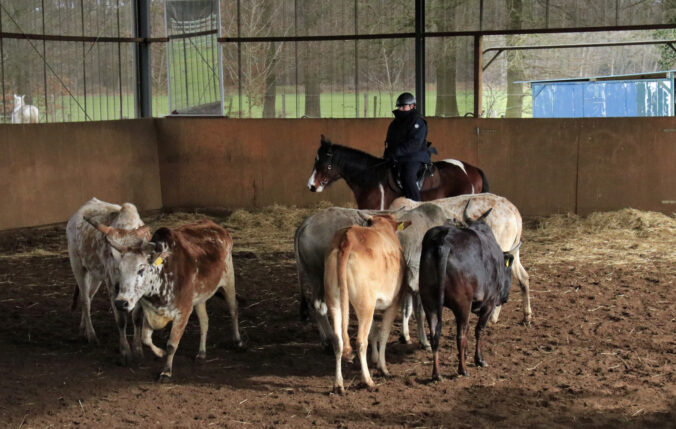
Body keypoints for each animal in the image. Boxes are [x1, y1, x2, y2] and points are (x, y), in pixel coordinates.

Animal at [65, 196, 151, 362]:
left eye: (140, 267)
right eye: (111, 253)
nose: (119, 285)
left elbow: (137, 318)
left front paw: (138, 350)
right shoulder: (111, 286)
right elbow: (121, 320)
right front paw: (125, 351)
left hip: (96, 276)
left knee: (89, 297)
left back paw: (83, 328)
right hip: (78, 266)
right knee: (85, 300)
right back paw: (91, 335)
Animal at [324, 212, 412, 392]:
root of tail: (347, 239)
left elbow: (373, 332)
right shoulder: (394, 303)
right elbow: (383, 333)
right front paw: (383, 367)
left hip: (335, 302)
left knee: (338, 340)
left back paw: (338, 384)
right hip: (366, 304)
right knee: (360, 342)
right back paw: (368, 380)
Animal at [420, 201, 520, 378]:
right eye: (508, 270)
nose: (505, 298)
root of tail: (443, 242)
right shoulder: (488, 304)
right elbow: (479, 330)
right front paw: (479, 359)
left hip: (429, 302)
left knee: (435, 334)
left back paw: (437, 374)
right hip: (462, 304)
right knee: (460, 334)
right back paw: (462, 369)